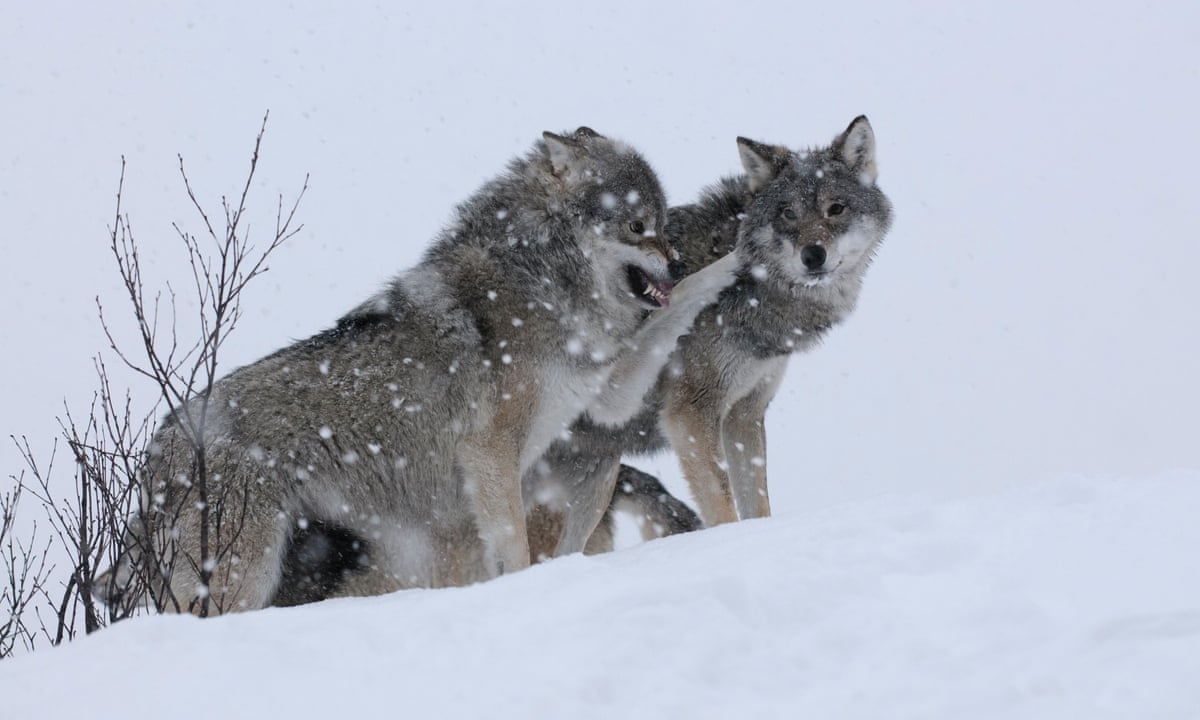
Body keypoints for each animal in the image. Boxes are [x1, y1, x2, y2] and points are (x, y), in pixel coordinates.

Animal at [99, 127, 738, 614]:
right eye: (637, 226)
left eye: (661, 222)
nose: (674, 261)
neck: (542, 276)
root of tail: (155, 452)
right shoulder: (490, 451)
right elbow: (515, 548)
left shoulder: (604, 396)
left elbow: (682, 304)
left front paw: (733, 260)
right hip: (241, 574)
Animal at [526, 117, 892, 553]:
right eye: (787, 213)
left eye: (835, 208)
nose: (812, 255)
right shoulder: (691, 415)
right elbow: (723, 509)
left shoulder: (744, 415)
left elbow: (758, 505)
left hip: (596, 486)